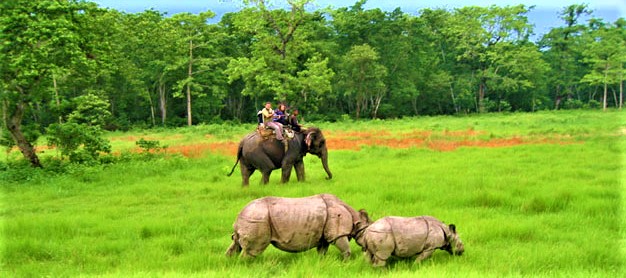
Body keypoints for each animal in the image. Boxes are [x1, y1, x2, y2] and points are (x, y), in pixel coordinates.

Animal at [224, 193, 370, 260]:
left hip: (250, 218)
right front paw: (346, 262)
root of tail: (240, 214)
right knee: (252, 250)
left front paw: (321, 262)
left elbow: (322, 251)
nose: (366, 247)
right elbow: (346, 250)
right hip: (257, 218)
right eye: (366, 233)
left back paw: (231, 262)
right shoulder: (338, 233)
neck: (356, 219)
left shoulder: (324, 236)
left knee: (236, 243)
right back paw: (247, 264)